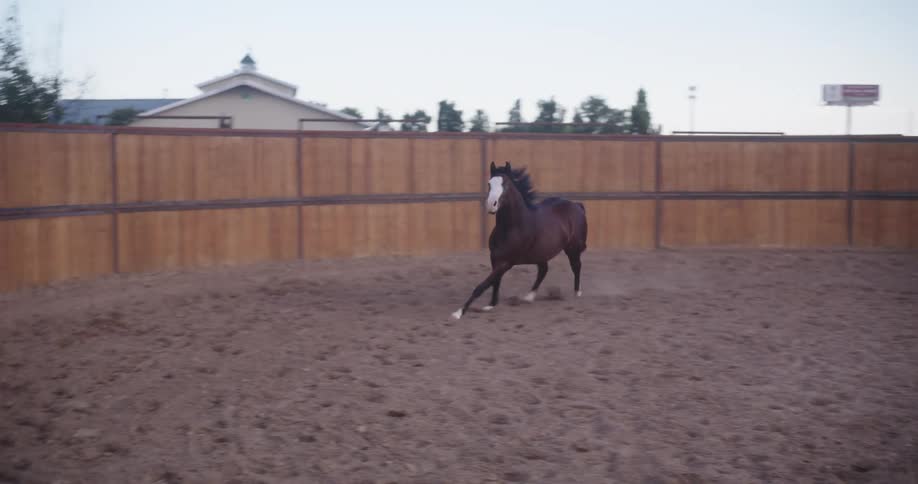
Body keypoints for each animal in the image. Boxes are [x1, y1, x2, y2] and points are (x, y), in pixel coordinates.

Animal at [451, 161, 588, 319]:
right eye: (489, 183)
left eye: (506, 184)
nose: (491, 204)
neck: (512, 227)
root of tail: (577, 205)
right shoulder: (495, 258)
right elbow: (495, 282)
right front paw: (491, 305)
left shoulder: (507, 262)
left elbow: (483, 285)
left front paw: (458, 313)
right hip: (541, 253)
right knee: (543, 270)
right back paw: (529, 297)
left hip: (572, 248)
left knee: (576, 266)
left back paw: (576, 293)